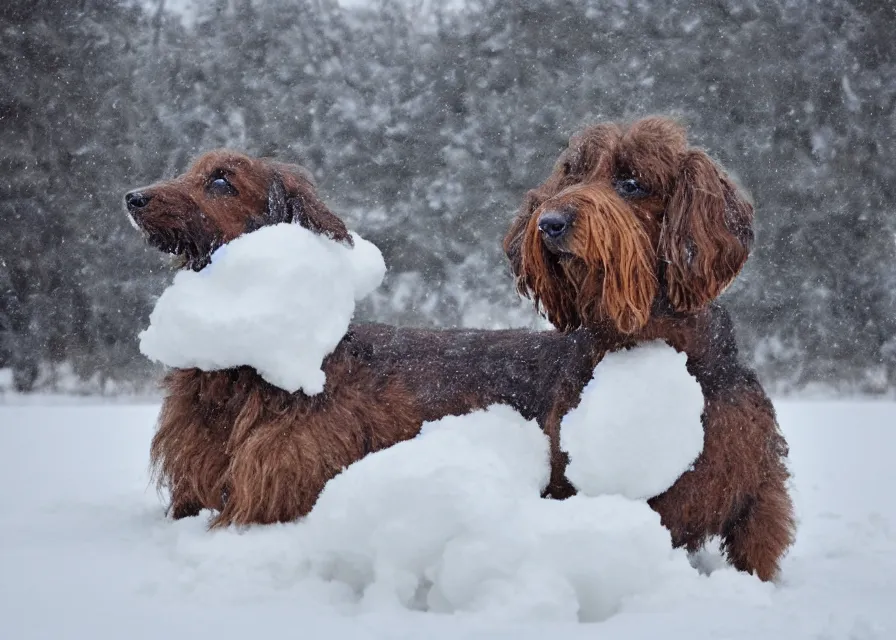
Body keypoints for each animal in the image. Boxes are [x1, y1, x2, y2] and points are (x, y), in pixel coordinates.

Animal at [504, 115, 800, 580]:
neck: (648, 334)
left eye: (631, 183)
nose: (548, 222)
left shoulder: (758, 493)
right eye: (571, 175)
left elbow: (757, 546)